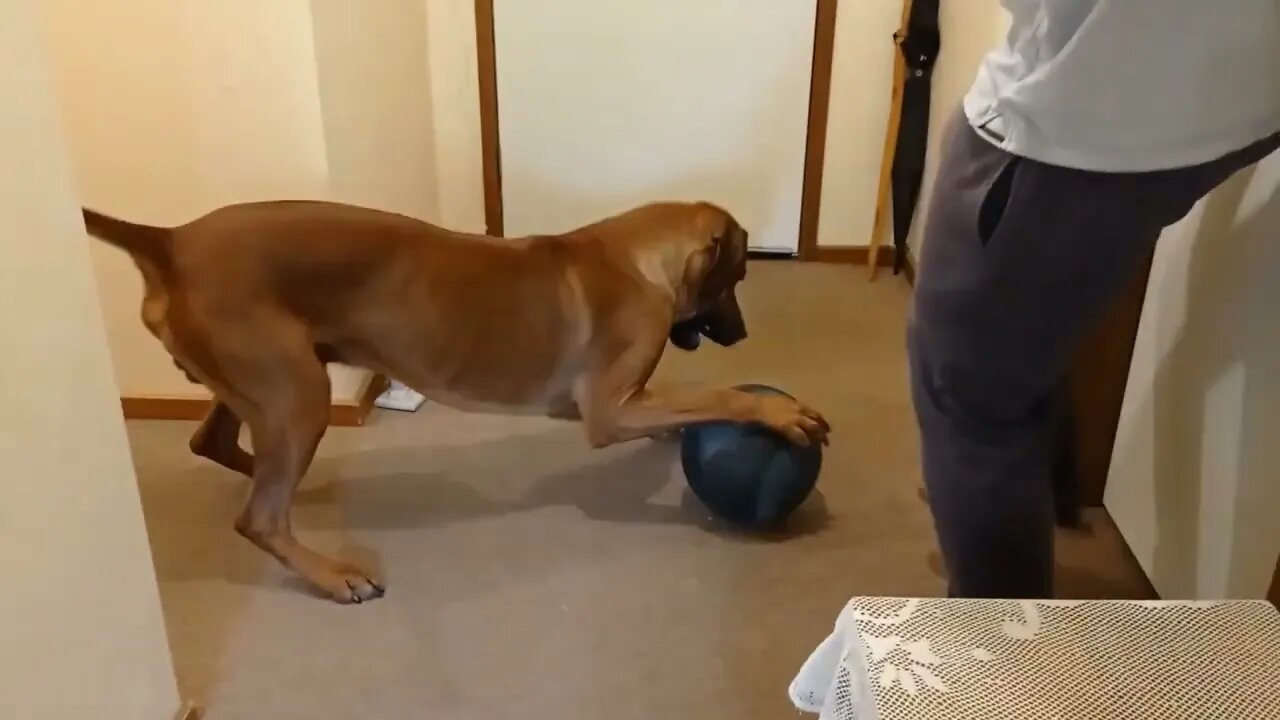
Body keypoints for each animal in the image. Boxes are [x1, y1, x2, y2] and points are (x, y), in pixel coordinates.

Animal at [87, 199, 829, 599]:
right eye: (738, 275)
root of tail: (172, 241)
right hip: (296, 387)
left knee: (215, 442)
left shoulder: (629, 399)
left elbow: (682, 401)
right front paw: (776, 411)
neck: (641, 257)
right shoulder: (609, 408)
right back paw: (330, 573)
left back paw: (298, 490)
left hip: (275, 379)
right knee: (258, 516)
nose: (740, 331)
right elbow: (719, 395)